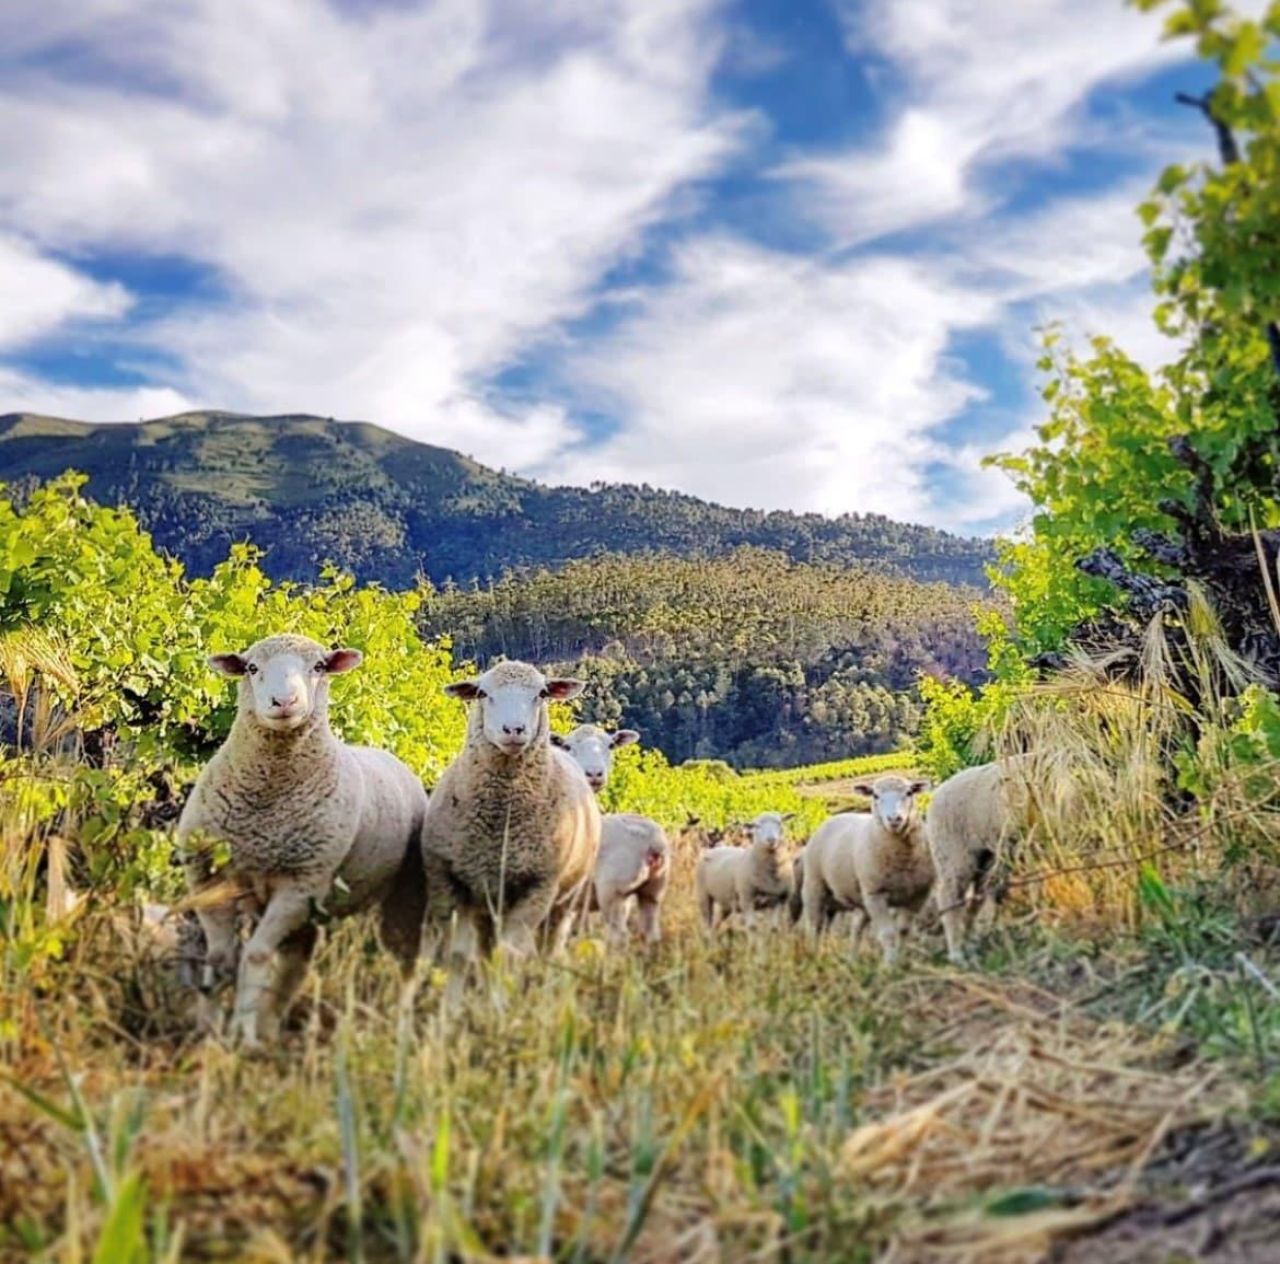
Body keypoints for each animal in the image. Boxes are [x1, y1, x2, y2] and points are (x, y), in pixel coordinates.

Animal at [178, 634, 428, 1047]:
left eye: (319, 667)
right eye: (251, 668)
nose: (284, 702)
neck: (266, 803)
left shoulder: (299, 884)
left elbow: (257, 956)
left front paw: (242, 1034)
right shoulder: (209, 878)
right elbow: (220, 959)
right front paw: (208, 1032)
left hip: (399, 893)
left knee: (404, 963)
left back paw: (401, 1029)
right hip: (312, 906)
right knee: (296, 963)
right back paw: (270, 1026)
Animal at [420, 661, 601, 984]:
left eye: (542, 693)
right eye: (482, 693)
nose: (514, 730)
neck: (500, 821)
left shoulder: (536, 889)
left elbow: (507, 958)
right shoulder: (453, 883)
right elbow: (460, 957)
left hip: (564, 900)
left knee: (550, 948)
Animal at [552, 725, 669, 944]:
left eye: (611, 745)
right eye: (567, 746)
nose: (594, 773)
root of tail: (653, 842)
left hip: (612, 890)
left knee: (619, 935)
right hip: (653, 891)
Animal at [800, 775, 931, 964]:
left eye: (909, 793)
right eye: (875, 795)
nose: (894, 819)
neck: (902, 859)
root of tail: (835, 818)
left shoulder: (918, 896)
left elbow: (904, 932)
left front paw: (900, 962)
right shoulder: (875, 895)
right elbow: (888, 934)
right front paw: (889, 966)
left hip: (858, 899)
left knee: (855, 929)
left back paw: (852, 959)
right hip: (814, 885)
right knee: (814, 925)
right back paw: (814, 954)